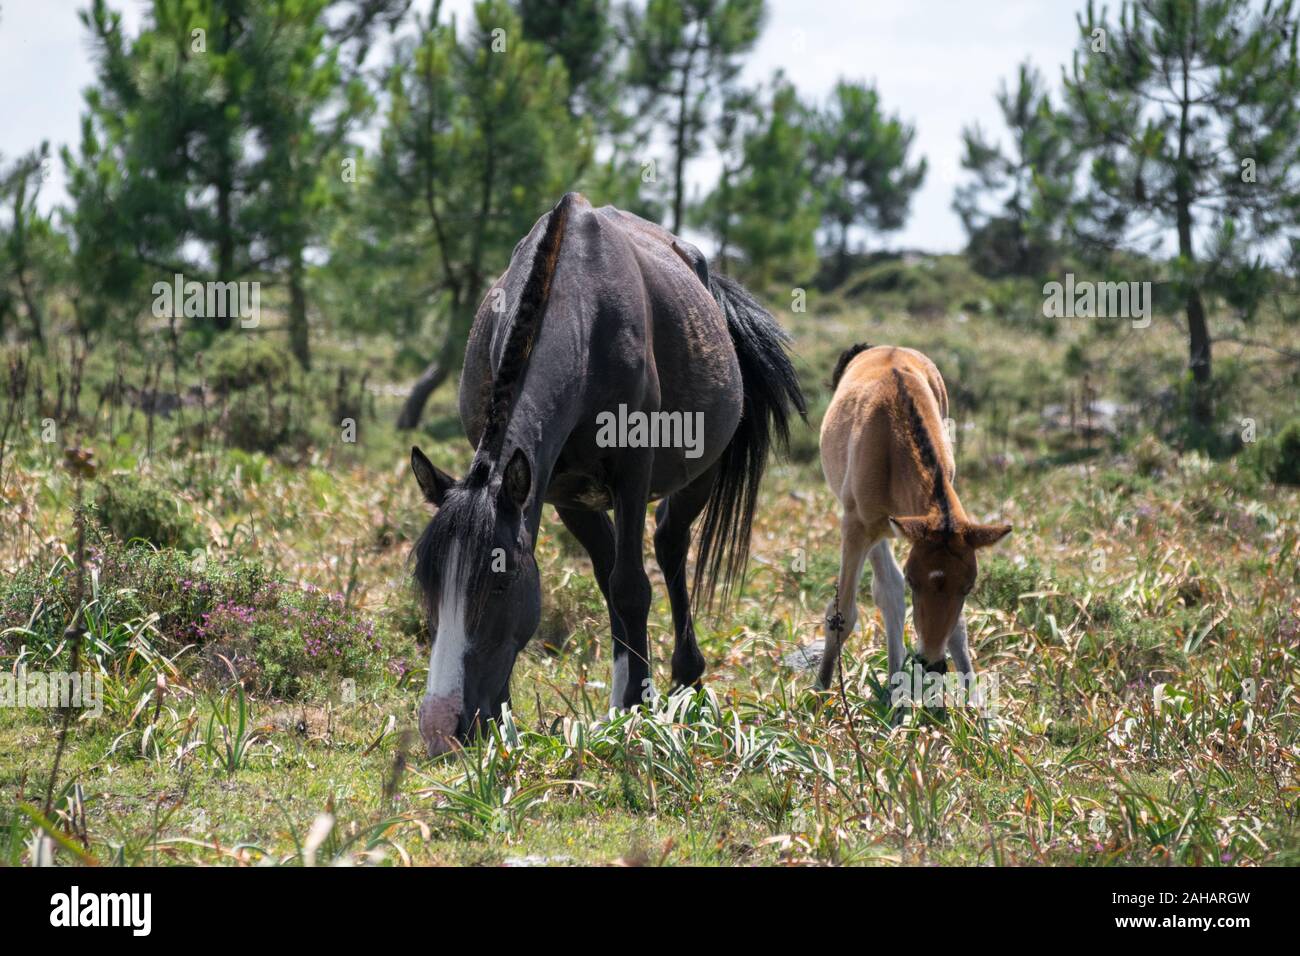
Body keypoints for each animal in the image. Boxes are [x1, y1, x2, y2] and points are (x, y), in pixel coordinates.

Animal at [410, 192, 806, 754]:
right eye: (428, 583)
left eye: (500, 586)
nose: (440, 726)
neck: (583, 314)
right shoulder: (556, 490)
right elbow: (605, 581)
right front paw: (509, 720)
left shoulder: (631, 473)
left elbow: (631, 587)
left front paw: (637, 709)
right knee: (610, 566)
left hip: (698, 477)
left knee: (668, 544)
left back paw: (684, 679)